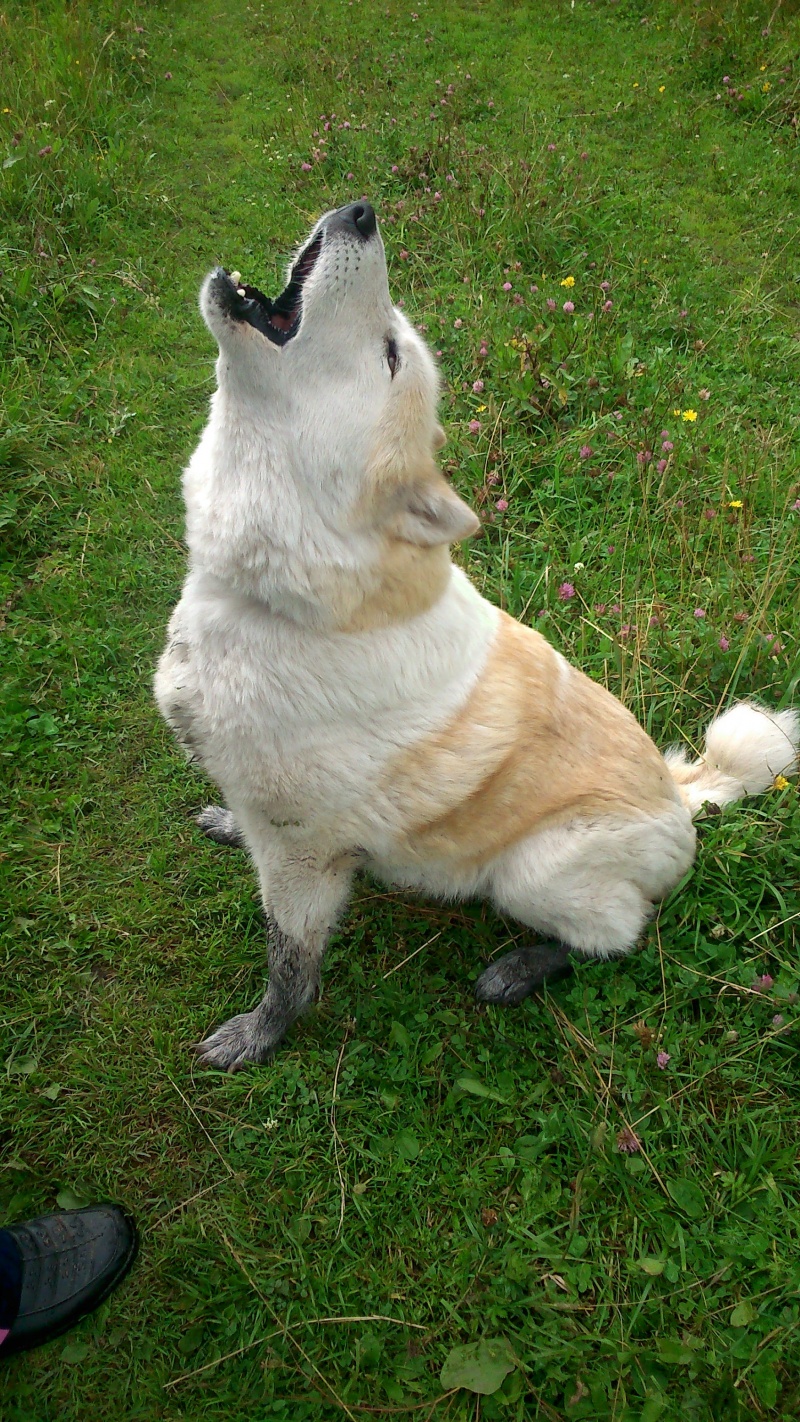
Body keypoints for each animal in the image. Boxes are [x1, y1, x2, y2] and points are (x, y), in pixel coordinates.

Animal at [154, 201, 799, 1072]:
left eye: (390, 354)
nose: (362, 211)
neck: (273, 599)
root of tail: (687, 797)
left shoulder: (303, 861)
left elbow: (289, 964)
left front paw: (260, 1035)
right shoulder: (280, 833)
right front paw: (228, 823)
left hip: (533, 871)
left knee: (620, 935)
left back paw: (521, 967)